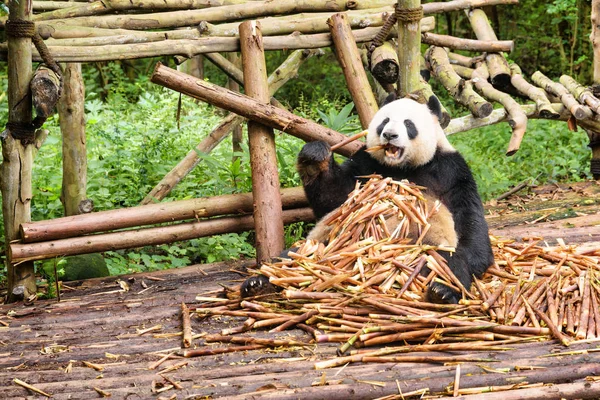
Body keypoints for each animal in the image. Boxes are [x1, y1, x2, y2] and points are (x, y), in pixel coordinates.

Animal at [298, 95, 494, 304]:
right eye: (384, 121)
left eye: (409, 124)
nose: (389, 135)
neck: (402, 166)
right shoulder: (367, 163)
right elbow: (335, 200)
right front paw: (313, 159)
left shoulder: (450, 169)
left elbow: (467, 215)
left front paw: (473, 259)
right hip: (323, 244)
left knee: (444, 263)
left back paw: (442, 291)